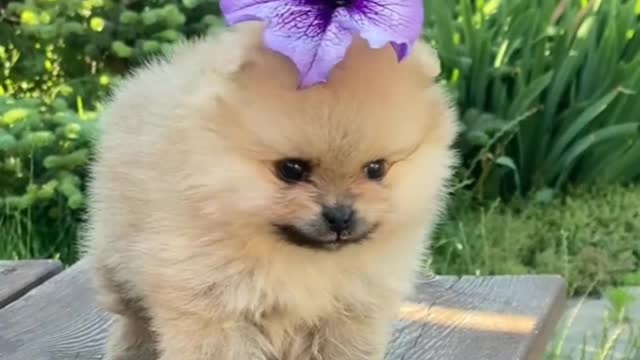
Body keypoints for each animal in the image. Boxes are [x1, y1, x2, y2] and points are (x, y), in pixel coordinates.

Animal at [82, 21, 458, 360]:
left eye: (376, 169)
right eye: (291, 169)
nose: (340, 216)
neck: (300, 259)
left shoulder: (351, 314)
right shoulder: (213, 308)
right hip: (117, 264)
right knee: (133, 319)